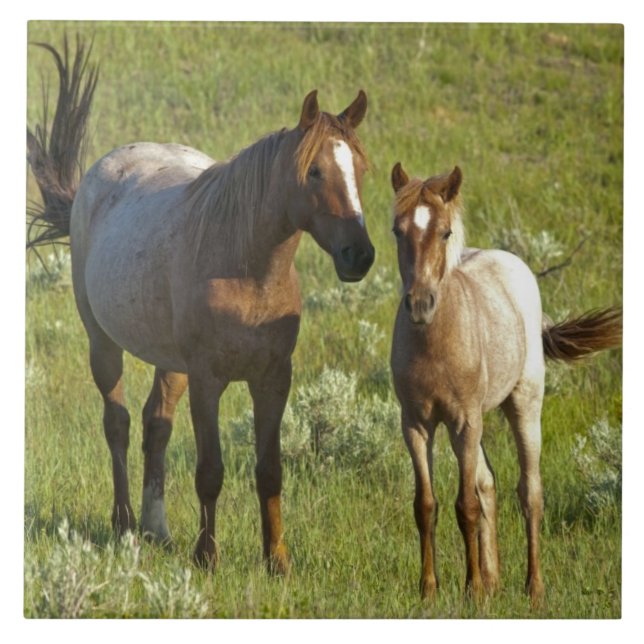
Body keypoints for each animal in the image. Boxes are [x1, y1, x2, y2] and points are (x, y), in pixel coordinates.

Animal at [27, 38, 375, 574]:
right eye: (314, 171)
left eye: (358, 170)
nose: (359, 254)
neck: (248, 271)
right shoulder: (209, 380)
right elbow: (210, 469)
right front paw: (208, 556)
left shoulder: (274, 378)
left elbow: (270, 469)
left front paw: (277, 560)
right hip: (102, 343)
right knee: (118, 423)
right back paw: (125, 524)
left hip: (172, 364)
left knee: (156, 425)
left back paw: (158, 529)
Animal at [388, 162, 622, 603]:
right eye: (397, 230)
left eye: (445, 232)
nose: (420, 304)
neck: (435, 344)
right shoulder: (416, 425)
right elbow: (425, 504)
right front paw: (430, 590)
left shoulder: (463, 422)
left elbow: (465, 505)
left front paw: (472, 589)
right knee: (488, 483)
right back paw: (495, 580)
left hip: (523, 406)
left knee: (529, 492)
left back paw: (534, 588)